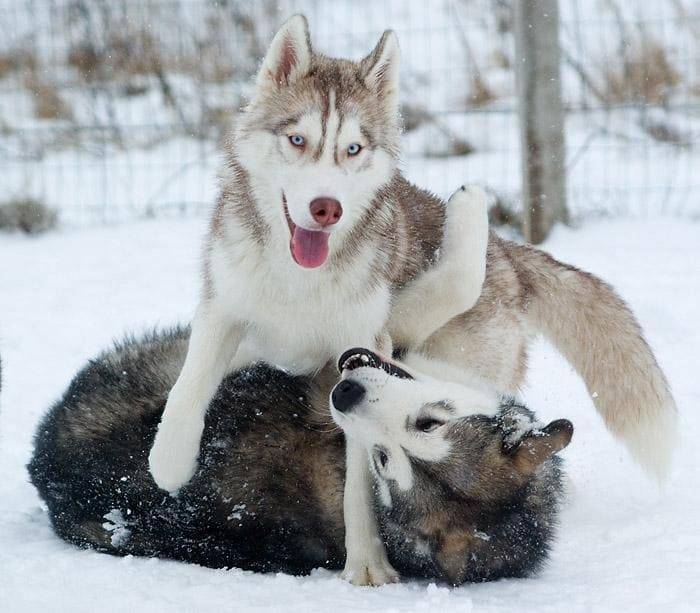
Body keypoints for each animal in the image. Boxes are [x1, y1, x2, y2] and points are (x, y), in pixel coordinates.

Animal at [149, 11, 680, 580]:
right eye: (297, 139)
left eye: (353, 149)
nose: (326, 208)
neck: (300, 280)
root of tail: (509, 255)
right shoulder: (224, 306)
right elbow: (190, 383)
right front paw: (170, 458)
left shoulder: (373, 338)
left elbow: (359, 476)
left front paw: (366, 559)